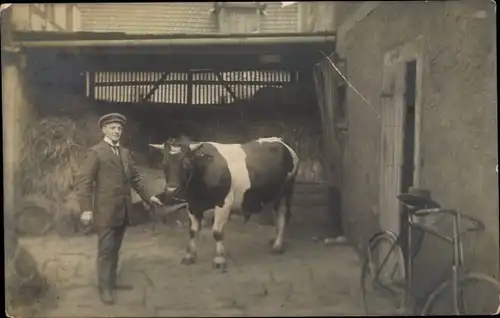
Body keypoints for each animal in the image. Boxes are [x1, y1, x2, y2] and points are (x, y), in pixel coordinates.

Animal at [146, 135, 298, 272]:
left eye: (187, 163)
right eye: (164, 164)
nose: (172, 189)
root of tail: (281, 141)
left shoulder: (223, 203)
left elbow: (217, 232)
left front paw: (219, 260)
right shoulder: (192, 205)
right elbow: (193, 231)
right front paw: (189, 256)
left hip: (286, 191)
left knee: (283, 215)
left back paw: (277, 246)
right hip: (275, 194)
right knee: (277, 214)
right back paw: (274, 240)